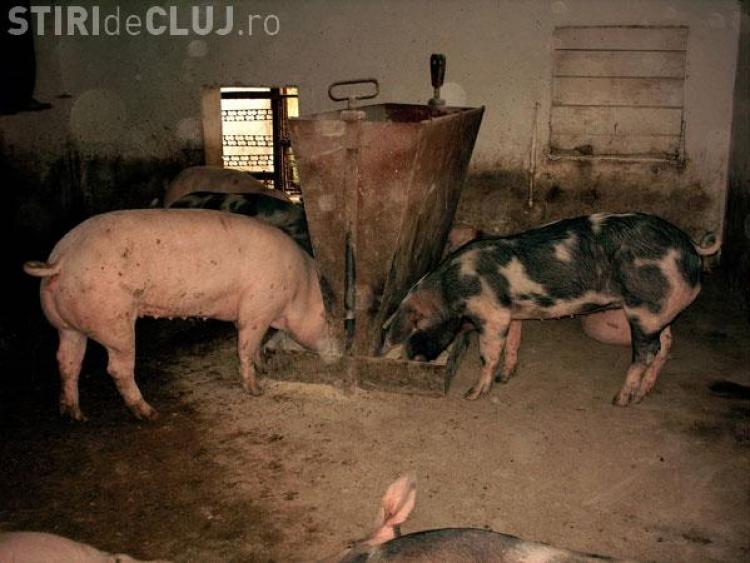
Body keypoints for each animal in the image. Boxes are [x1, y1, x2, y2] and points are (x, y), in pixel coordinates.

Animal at [23, 209, 339, 421]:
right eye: (329, 324)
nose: (339, 357)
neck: (299, 288)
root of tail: (61, 259)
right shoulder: (256, 308)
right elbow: (247, 347)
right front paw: (256, 389)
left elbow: (255, 347)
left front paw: (264, 367)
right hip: (114, 322)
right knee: (116, 368)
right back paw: (149, 413)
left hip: (66, 324)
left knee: (66, 361)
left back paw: (74, 414)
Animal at [381, 213, 718, 406]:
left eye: (415, 330)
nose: (414, 358)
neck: (452, 289)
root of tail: (690, 246)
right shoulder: (513, 312)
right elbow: (513, 342)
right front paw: (506, 377)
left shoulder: (492, 314)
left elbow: (488, 354)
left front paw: (473, 394)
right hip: (661, 309)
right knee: (667, 344)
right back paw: (643, 393)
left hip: (643, 309)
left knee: (646, 352)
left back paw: (620, 399)